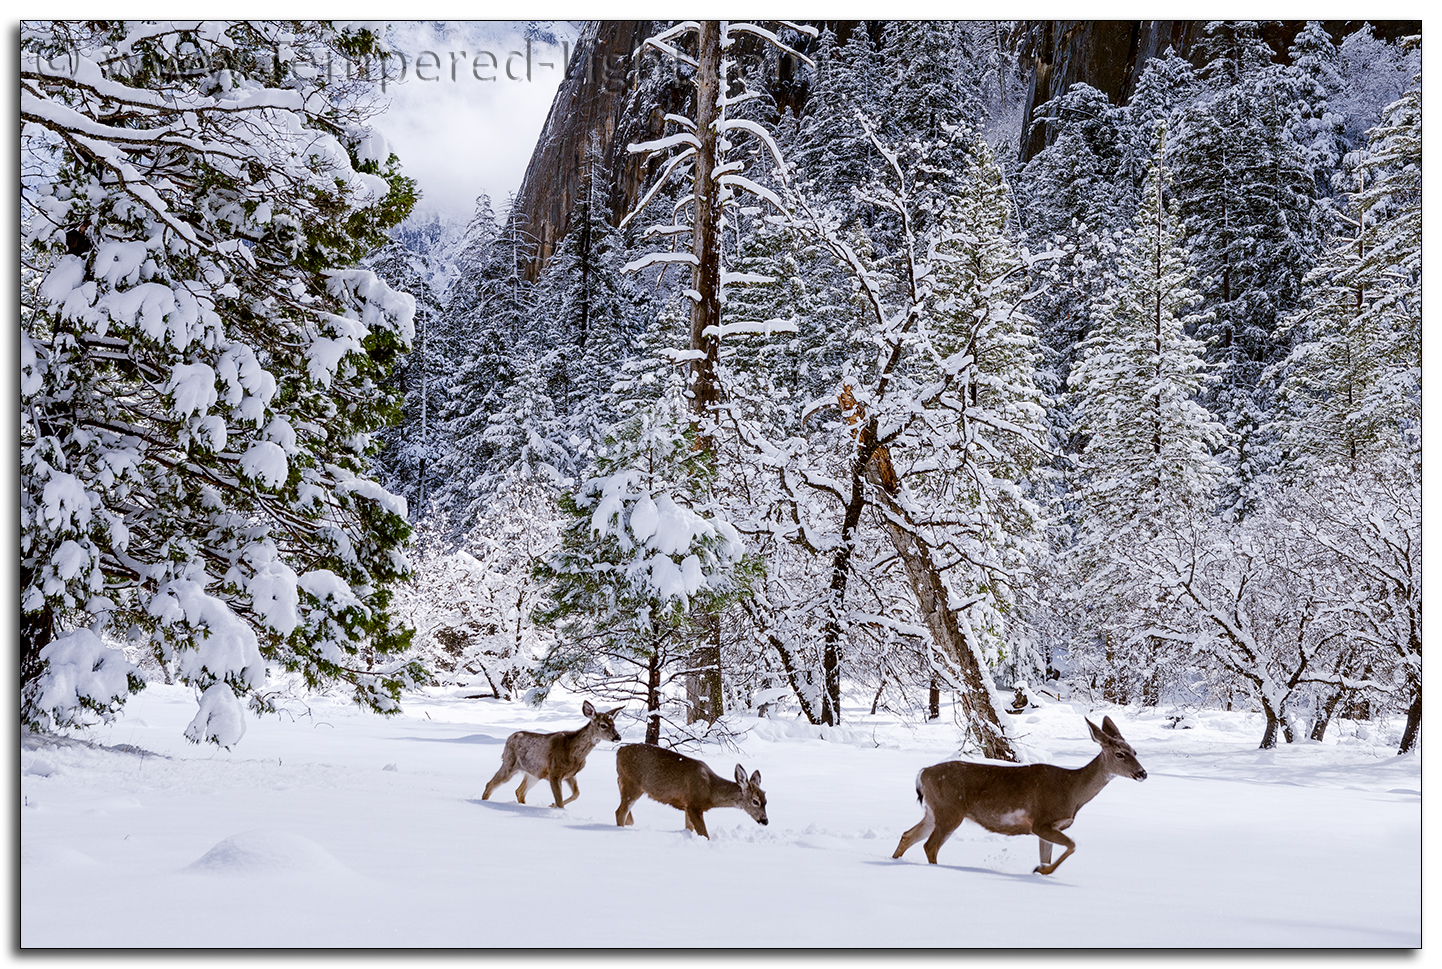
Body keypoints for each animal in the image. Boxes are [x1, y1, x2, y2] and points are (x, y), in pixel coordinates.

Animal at [481, 700, 622, 807]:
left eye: (614, 724)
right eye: (603, 725)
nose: (618, 737)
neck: (574, 754)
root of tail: (509, 738)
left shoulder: (570, 774)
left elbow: (576, 794)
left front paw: (551, 805)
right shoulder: (554, 772)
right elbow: (560, 801)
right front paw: (556, 808)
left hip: (533, 773)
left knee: (519, 791)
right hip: (509, 763)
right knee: (490, 784)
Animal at [611, 744, 767, 842]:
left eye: (766, 801)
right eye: (755, 801)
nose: (765, 821)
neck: (710, 791)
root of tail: (619, 751)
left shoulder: (687, 807)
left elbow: (689, 829)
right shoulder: (694, 805)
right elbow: (705, 834)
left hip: (623, 783)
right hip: (632, 784)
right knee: (619, 812)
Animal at [888, 715, 1147, 876]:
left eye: (1135, 751)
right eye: (1120, 753)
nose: (1143, 773)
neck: (1072, 790)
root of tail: (923, 773)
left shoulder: (1049, 827)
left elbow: (1048, 855)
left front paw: (1041, 871)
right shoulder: (1041, 822)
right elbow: (1072, 845)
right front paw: (1039, 870)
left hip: (933, 811)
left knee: (908, 835)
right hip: (950, 810)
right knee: (930, 845)